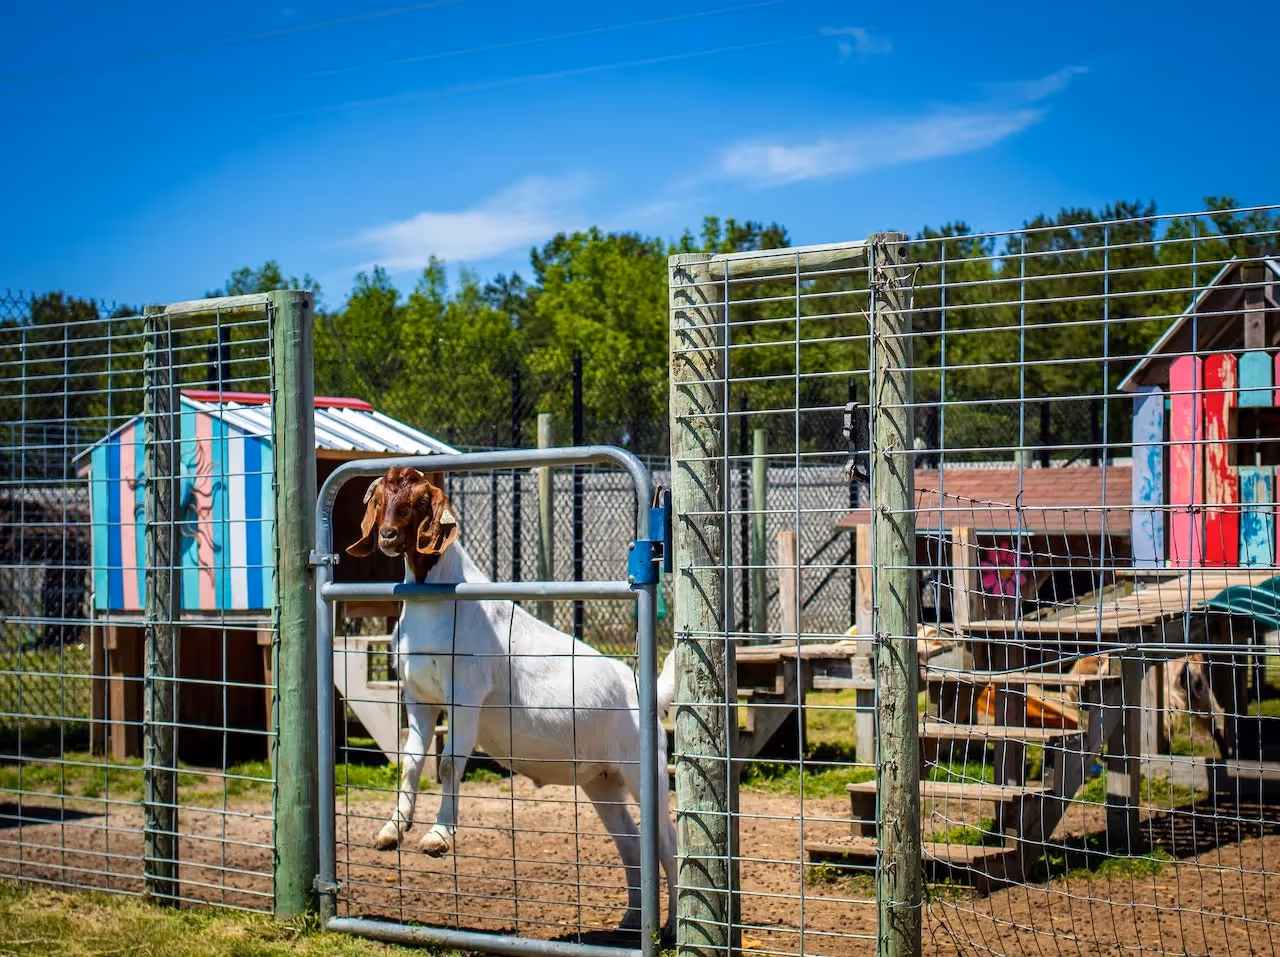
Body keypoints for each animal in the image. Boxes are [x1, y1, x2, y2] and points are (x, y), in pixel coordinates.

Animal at [346, 466, 678, 937]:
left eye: (420, 500)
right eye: (380, 498)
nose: (388, 535)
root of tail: (645, 690)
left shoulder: (466, 692)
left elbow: (448, 764)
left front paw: (437, 838)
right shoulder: (418, 698)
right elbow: (410, 763)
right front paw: (392, 830)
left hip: (642, 769)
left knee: (667, 844)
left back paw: (669, 930)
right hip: (602, 780)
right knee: (631, 843)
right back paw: (632, 921)